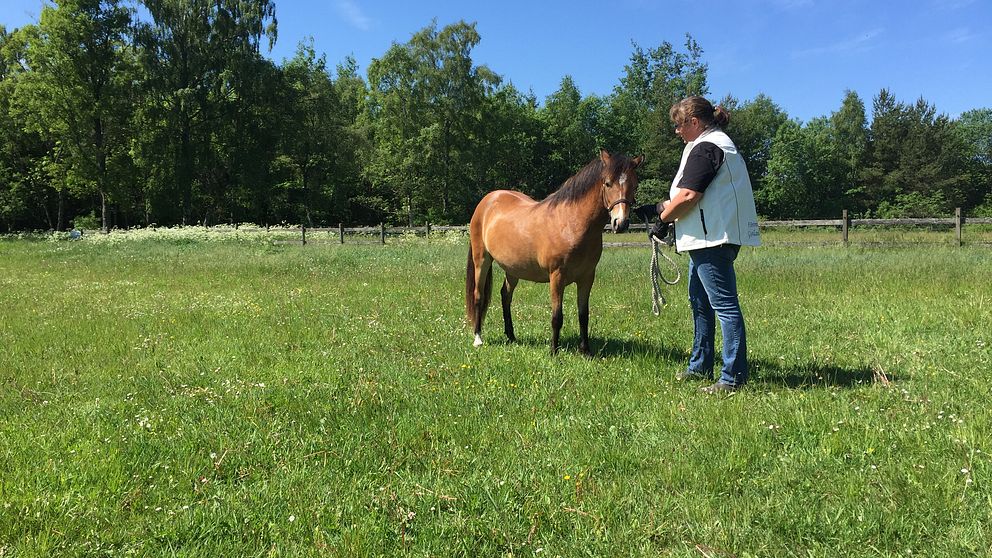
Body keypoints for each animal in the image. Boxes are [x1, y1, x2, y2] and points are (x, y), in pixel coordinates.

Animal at [464, 151, 644, 356]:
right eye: (607, 183)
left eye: (635, 185)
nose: (620, 223)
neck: (571, 223)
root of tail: (488, 200)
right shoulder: (557, 276)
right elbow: (557, 316)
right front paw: (553, 351)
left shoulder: (587, 277)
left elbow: (584, 315)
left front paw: (586, 351)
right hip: (482, 260)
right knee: (478, 296)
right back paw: (478, 338)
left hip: (513, 269)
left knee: (505, 296)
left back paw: (511, 336)